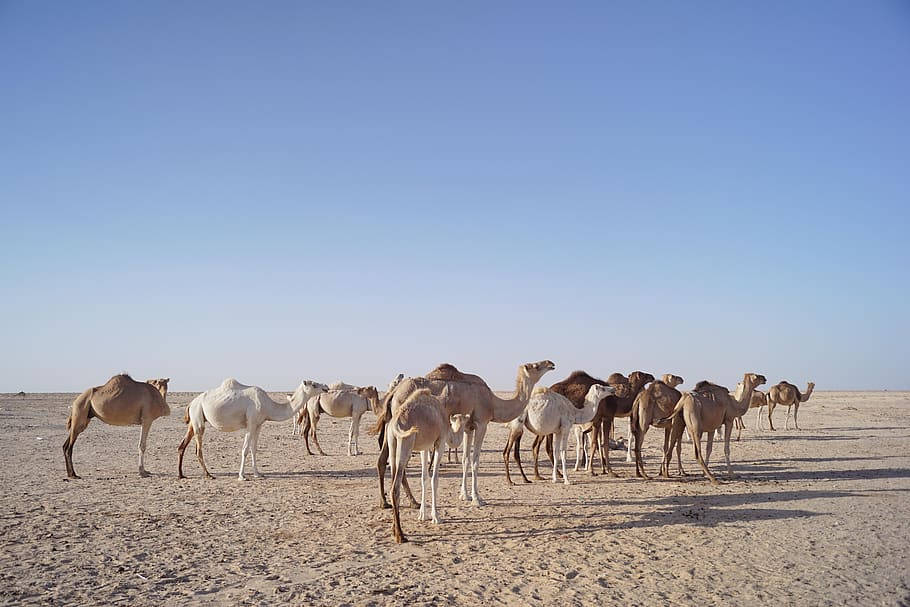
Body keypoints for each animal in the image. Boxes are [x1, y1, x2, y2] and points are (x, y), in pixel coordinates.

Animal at [177, 380, 306, 480]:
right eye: (311, 383)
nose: (315, 382)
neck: (268, 405)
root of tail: (191, 403)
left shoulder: (258, 424)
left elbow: (254, 449)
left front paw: (257, 474)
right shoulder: (251, 423)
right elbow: (245, 450)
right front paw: (242, 476)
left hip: (194, 419)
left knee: (182, 445)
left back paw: (181, 475)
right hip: (198, 415)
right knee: (198, 449)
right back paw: (208, 475)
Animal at [370, 360, 556, 508]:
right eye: (535, 366)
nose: (551, 363)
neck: (493, 403)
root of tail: (393, 394)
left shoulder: (468, 427)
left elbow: (466, 460)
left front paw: (464, 495)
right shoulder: (482, 423)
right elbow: (475, 461)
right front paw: (477, 498)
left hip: (392, 427)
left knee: (383, 460)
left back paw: (386, 502)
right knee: (399, 466)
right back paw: (413, 502)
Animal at [386, 390, 454, 548]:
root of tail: (395, 423)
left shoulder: (424, 447)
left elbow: (424, 478)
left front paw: (422, 515)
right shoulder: (440, 441)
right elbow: (434, 479)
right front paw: (436, 517)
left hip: (392, 444)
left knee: (392, 482)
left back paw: (393, 530)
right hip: (406, 443)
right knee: (395, 488)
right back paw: (400, 536)